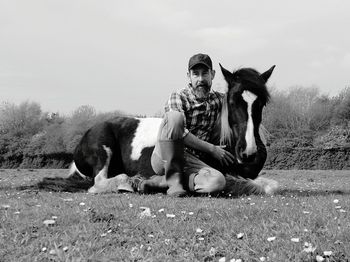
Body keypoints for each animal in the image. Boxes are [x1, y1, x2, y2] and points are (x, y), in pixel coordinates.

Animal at [33, 64, 278, 196]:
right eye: (233, 100)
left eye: (261, 103)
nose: (248, 152)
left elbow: (271, 185)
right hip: (103, 148)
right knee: (98, 183)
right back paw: (133, 182)